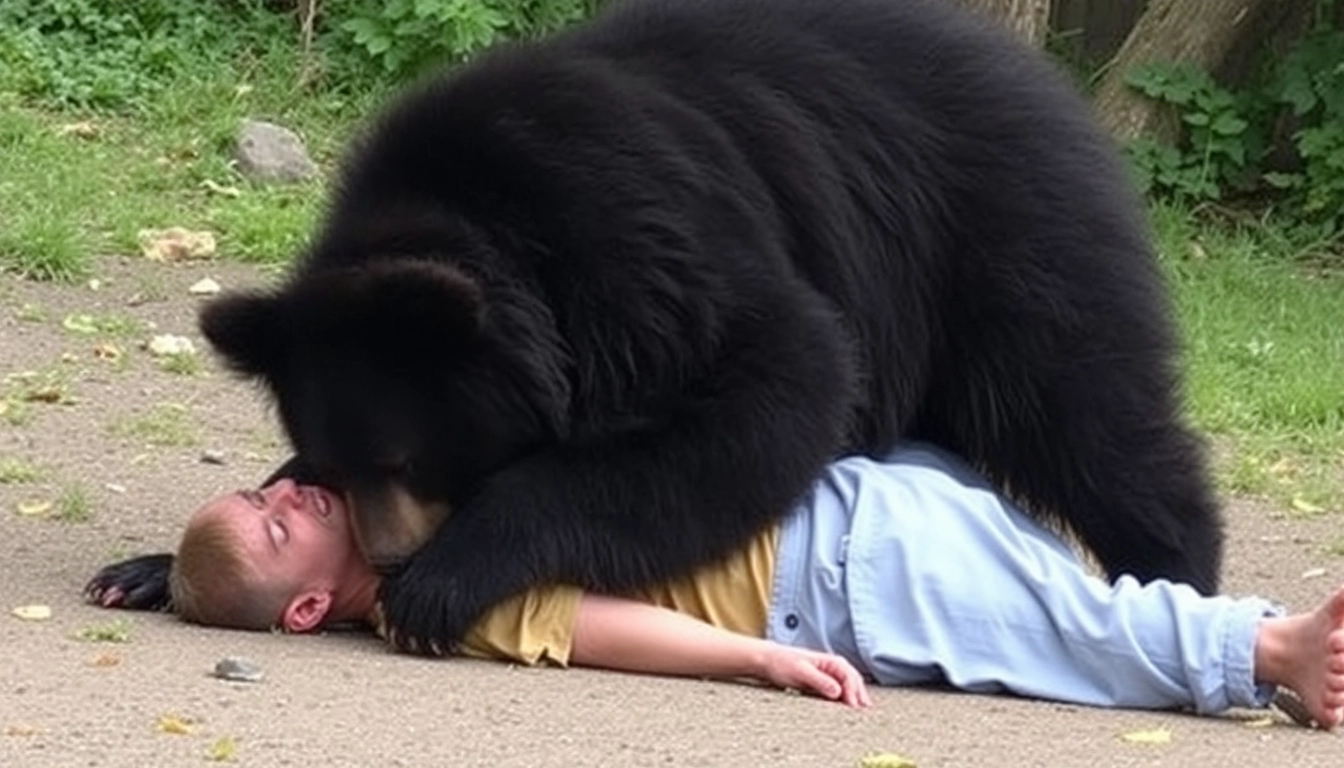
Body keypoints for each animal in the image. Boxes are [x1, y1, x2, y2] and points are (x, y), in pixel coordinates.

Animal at [89, 0, 1225, 656]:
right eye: (331, 466)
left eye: (409, 457)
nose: (389, 555)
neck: (471, 216)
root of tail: (1051, 83)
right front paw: (142, 566)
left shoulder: (640, 247)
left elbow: (768, 387)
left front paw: (448, 579)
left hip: (1002, 243)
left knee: (1084, 412)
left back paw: (1177, 565)